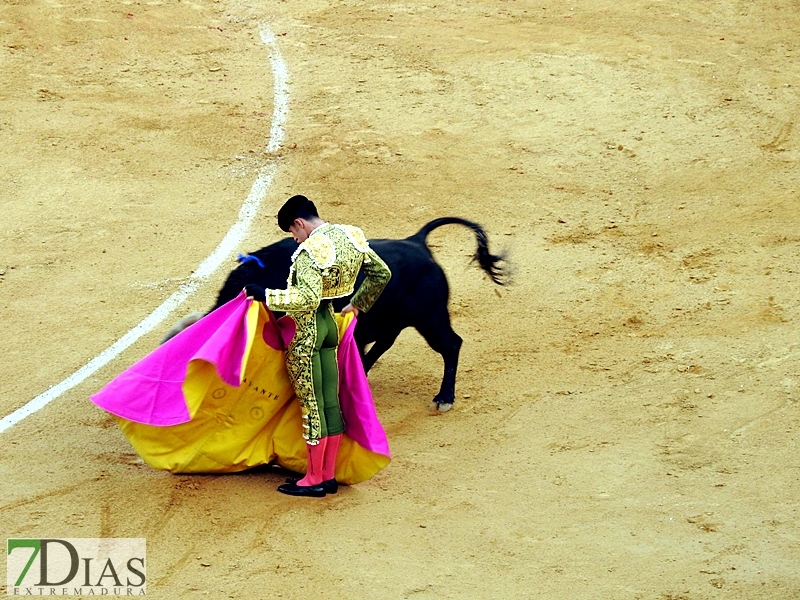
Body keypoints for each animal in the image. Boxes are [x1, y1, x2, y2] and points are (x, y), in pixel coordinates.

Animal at [161, 217, 506, 412]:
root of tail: (418, 243)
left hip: (430, 318)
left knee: (451, 345)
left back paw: (444, 398)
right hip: (398, 320)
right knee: (383, 342)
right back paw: (358, 374)